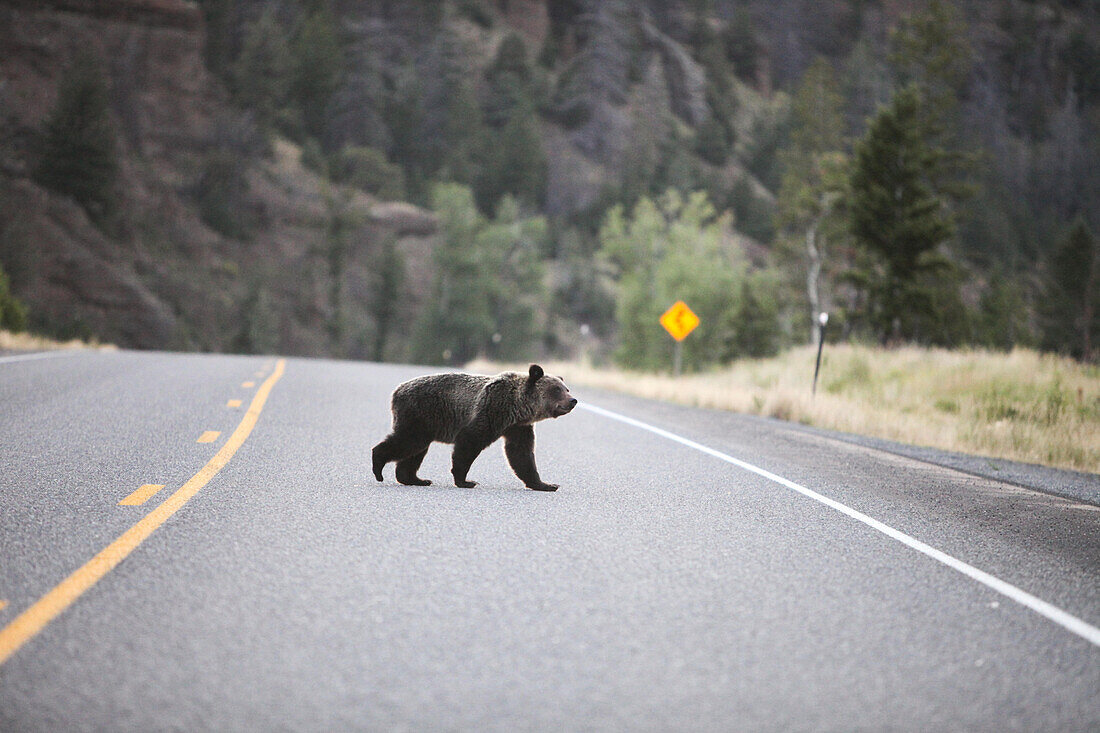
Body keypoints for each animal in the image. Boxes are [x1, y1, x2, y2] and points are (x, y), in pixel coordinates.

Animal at [371, 363, 576, 488]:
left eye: (566, 389)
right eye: (556, 390)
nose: (573, 400)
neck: (517, 407)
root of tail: (397, 390)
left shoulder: (518, 427)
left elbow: (521, 454)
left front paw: (546, 484)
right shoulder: (490, 410)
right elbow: (469, 441)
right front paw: (465, 480)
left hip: (426, 422)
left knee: (416, 450)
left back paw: (416, 479)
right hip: (421, 414)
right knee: (408, 441)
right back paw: (378, 467)